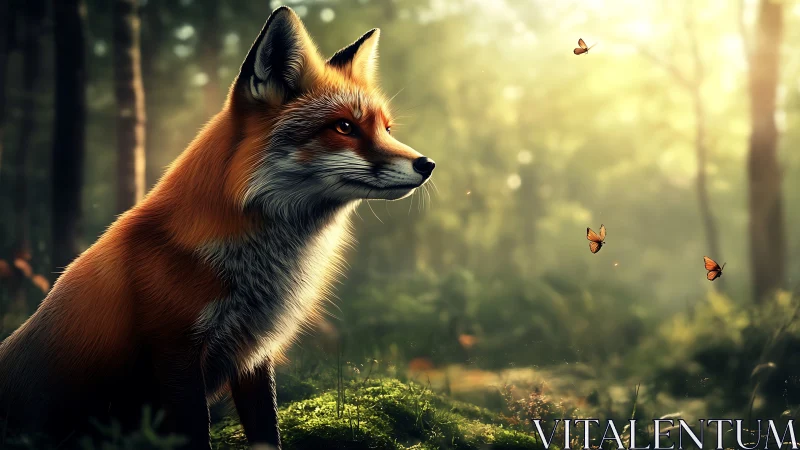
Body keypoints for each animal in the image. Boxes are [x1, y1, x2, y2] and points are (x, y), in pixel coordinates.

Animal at [0, 6, 434, 449]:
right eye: (344, 127)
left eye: (386, 129)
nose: (427, 164)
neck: (253, 271)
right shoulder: (177, 354)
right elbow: (196, 432)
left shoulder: (253, 352)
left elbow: (267, 431)